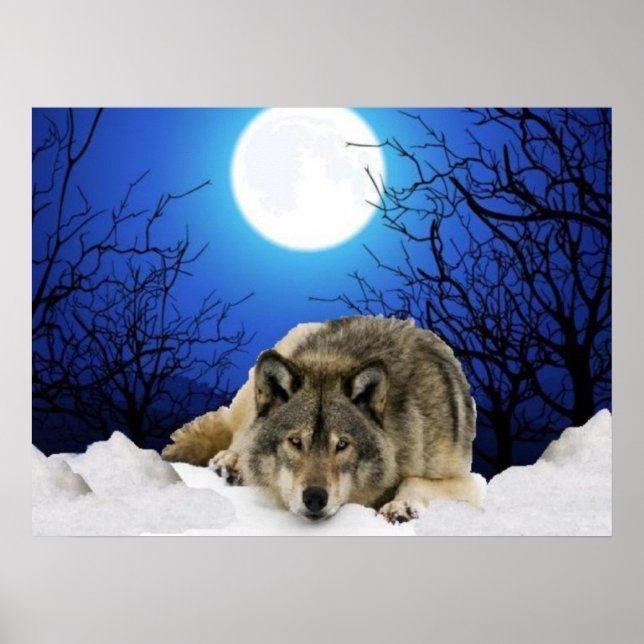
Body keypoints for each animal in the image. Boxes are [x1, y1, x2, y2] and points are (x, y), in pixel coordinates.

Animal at [162, 316, 481, 523]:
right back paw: (231, 463)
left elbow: (415, 480)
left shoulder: (467, 481)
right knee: (240, 433)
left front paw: (400, 505)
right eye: (295, 441)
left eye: (342, 445)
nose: (315, 498)